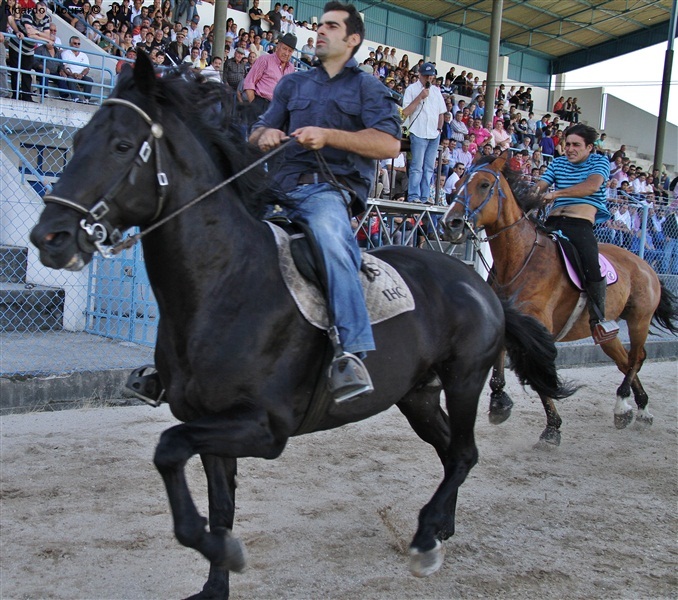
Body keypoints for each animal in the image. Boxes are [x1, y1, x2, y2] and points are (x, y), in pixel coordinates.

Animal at [30, 54, 572, 596]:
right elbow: (219, 505)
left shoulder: (265, 428)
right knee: (449, 451)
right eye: (77, 141)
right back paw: (441, 527)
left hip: (463, 380)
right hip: (417, 395)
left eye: (122, 145)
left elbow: (169, 451)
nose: (49, 237)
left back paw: (424, 537)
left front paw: (219, 551)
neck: (227, 282)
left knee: (463, 453)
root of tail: (480, 285)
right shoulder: (209, 423)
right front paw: (216, 578)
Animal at [444, 155, 676, 446]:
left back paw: (623, 405)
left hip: (639, 320)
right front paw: (499, 402)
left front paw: (552, 428)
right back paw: (640, 409)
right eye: (458, 184)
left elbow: (539, 377)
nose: (450, 223)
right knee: (626, 361)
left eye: (484, 185)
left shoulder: (538, 331)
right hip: (606, 333)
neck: (520, 260)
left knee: (636, 358)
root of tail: (646, 266)